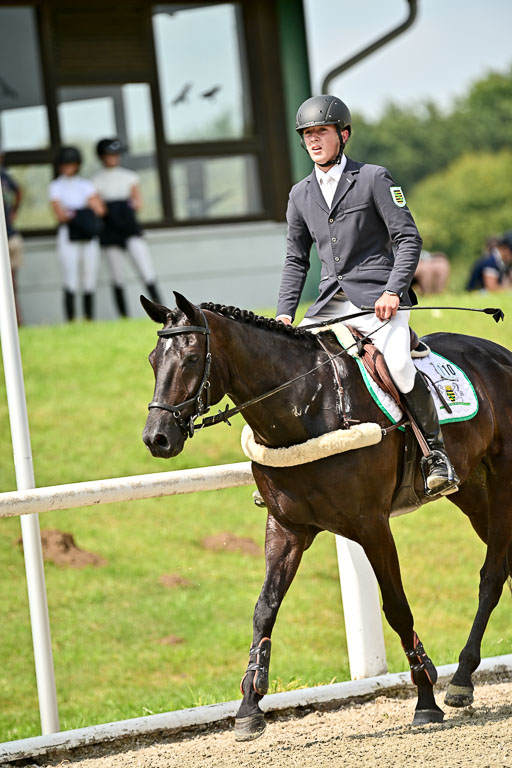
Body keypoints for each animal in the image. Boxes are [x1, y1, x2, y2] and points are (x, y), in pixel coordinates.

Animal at [141, 291, 512, 742]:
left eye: (192, 358)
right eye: (153, 359)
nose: (157, 438)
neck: (305, 406)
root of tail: (500, 354)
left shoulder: (372, 525)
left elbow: (396, 607)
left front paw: (425, 698)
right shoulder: (287, 528)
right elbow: (264, 608)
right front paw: (249, 708)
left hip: (503, 482)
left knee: (492, 576)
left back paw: (458, 680)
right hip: (473, 490)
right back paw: (463, 678)